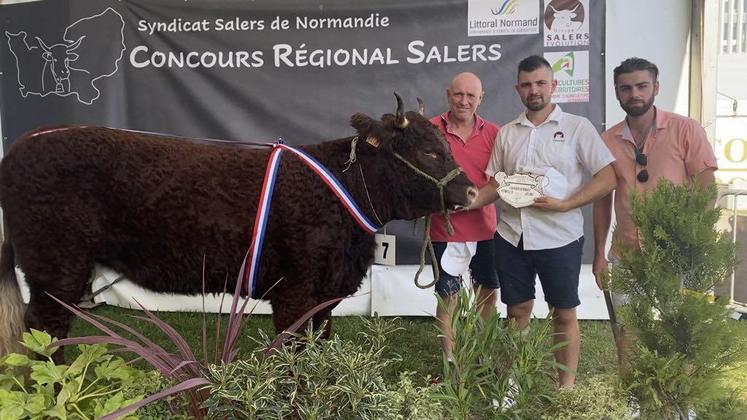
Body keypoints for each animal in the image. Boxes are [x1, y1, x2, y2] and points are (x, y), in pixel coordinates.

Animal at [0, 96, 480, 358]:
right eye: (427, 152)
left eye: (442, 145)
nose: (473, 192)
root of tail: (27, 141)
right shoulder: (294, 291)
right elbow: (294, 354)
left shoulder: (325, 295)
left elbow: (321, 346)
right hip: (55, 266)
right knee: (43, 330)